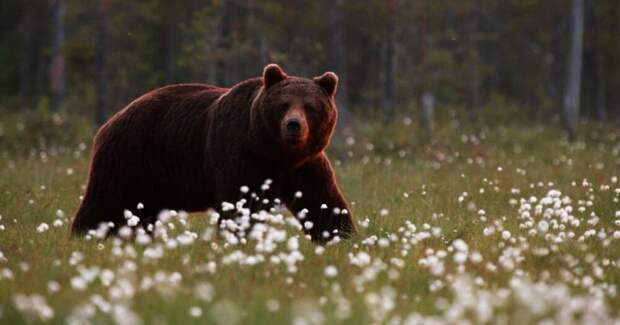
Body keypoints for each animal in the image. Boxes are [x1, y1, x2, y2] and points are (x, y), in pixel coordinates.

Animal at [71, 63, 354, 240]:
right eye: (283, 104)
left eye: (310, 106)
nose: (293, 125)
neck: (276, 152)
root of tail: (111, 120)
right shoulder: (241, 153)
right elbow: (243, 203)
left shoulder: (305, 165)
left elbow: (324, 201)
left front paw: (342, 237)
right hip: (131, 155)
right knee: (105, 200)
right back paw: (82, 235)